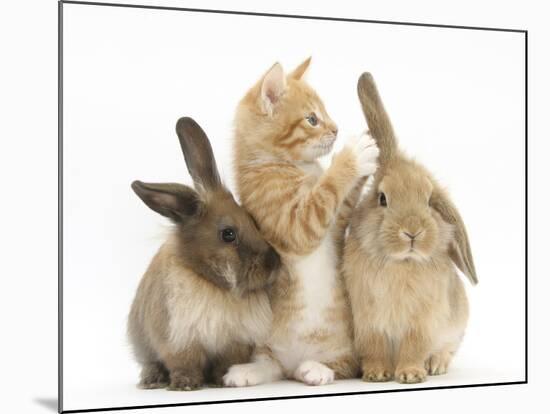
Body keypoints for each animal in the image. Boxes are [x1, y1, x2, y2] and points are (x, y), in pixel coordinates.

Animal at [128, 117, 282, 392]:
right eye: (228, 234)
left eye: (252, 220)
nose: (274, 263)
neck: (213, 285)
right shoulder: (178, 340)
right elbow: (183, 364)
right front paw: (185, 385)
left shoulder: (234, 343)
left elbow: (226, 362)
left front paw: (221, 380)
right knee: (150, 363)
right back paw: (152, 380)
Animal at [222, 57, 382, 384]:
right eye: (312, 119)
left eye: (325, 114)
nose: (336, 129)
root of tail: (293, 361)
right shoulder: (294, 223)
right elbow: (325, 192)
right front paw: (353, 155)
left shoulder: (337, 222)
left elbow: (343, 199)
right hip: (266, 342)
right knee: (272, 365)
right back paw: (251, 370)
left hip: (342, 344)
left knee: (343, 365)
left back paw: (314, 368)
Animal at [344, 72, 478, 384]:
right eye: (382, 198)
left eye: (429, 200)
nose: (413, 231)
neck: (400, 263)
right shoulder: (368, 321)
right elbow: (375, 348)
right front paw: (376, 374)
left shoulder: (421, 322)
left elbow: (414, 348)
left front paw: (409, 375)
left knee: (446, 350)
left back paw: (436, 366)